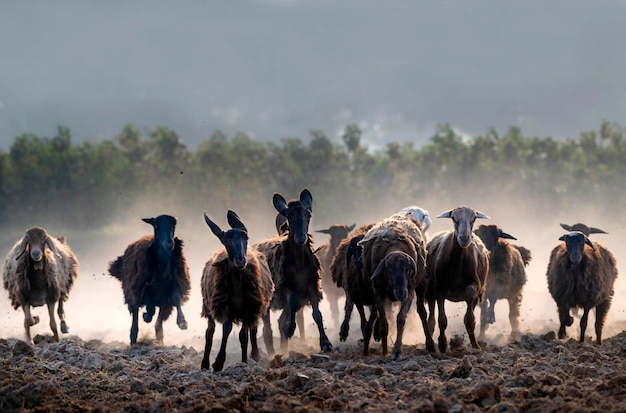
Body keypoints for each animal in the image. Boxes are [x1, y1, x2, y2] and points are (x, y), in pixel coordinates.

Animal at [108, 214, 190, 346]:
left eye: (174, 225)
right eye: (156, 225)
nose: (169, 243)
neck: (162, 271)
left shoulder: (173, 287)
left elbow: (177, 299)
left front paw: (182, 322)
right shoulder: (144, 288)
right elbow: (150, 308)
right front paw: (146, 316)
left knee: (158, 324)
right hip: (131, 294)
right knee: (135, 318)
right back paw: (134, 340)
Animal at [197, 209, 270, 370]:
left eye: (246, 238)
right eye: (226, 241)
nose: (241, 260)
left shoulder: (249, 307)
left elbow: (243, 336)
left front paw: (244, 363)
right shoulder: (224, 306)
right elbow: (227, 328)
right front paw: (218, 363)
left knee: (252, 329)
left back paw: (255, 355)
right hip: (209, 306)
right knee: (210, 331)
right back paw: (205, 364)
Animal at [254, 188, 332, 352]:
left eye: (308, 214)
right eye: (289, 216)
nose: (301, 238)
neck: (299, 263)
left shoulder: (312, 284)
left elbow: (317, 314)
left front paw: (326, 343)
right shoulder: (286, 285)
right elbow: (293, 302)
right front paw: (290, 329)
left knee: (280, 320)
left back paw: (284, 348)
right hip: (266, 299)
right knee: (267, 328)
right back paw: (273, 352)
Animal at [356, 212, 434, 358]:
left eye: (407, 269)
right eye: (389, 270)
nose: (400, 293)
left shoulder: (410, 291)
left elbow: (401, 319)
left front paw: (397, 351)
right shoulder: (378, 292)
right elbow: (383, 323)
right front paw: (385, 351)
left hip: (420, 286)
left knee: (422, 312)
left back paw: (431, 344)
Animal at [426, 205, 490, 350]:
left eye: (474, 218)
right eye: (453, 218)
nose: (465, 238)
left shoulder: (475, 285)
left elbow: (470, 319)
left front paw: (476, 346)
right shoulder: (438, 288)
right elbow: (442, 320)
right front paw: (442, 344)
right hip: (429, 291)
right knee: (431, 318)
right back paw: (430, 343)